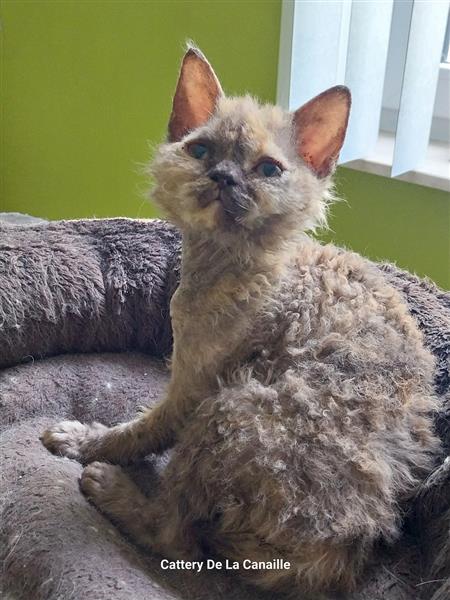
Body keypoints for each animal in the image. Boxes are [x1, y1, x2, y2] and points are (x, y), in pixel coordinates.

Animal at [40, 48, 442, 596]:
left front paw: (86, 442)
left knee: (177, 537)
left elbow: (140, 430)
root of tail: (334, 559)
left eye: (268, 169)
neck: (228, 261)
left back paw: (114, 490)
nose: (224, 177)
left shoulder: (192, 390)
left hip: (234, 407)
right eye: (201, 151)